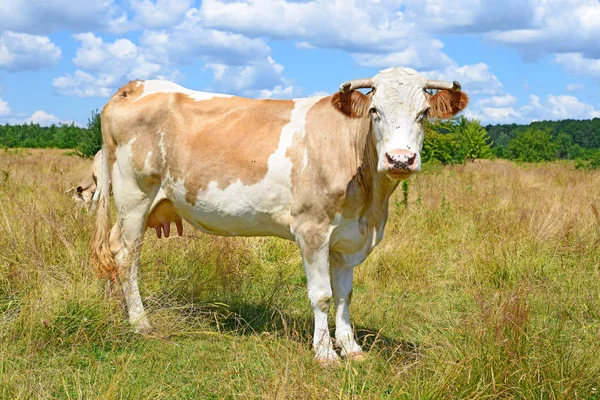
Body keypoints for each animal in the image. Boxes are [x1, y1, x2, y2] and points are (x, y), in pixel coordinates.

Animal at [92, 68, 468, 362]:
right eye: (375, 110)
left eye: (424, 113)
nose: (400, 159)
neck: (370, 206)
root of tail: (134, 86)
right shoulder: (311, 229)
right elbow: (322, 295)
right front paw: (325, 353)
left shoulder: (347, 239)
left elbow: (344, 295)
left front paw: (351, 347)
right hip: (133, 197)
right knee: (126, 255)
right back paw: (139, 323)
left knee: (113, 251)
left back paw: (114, 307)